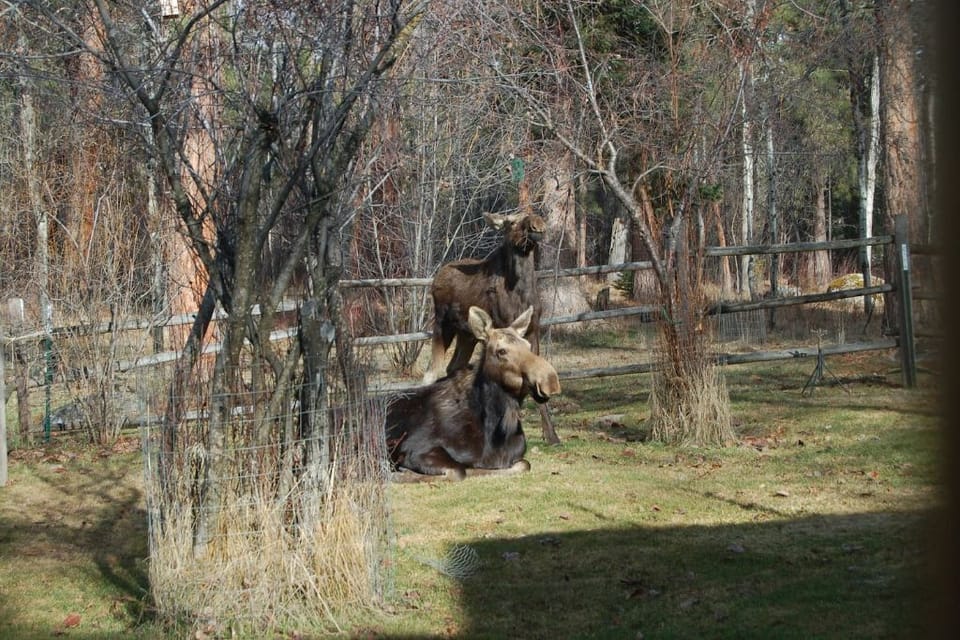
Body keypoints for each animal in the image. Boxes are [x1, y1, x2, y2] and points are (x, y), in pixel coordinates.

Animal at [387, 306, 560, 481]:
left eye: (528, 346)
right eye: (501, 351)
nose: (550, 380)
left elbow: (523, 465)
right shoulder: (415, 448)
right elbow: (458, 471)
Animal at [423, 210, 561, 444]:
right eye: (511, 222)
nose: (537, 226)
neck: (520, 289)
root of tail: (437, 277)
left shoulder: (532, 331)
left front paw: (551, 435)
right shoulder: (501, 328)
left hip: (467, 335)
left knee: (454, 366)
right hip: (443, 325)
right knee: (432, 371)